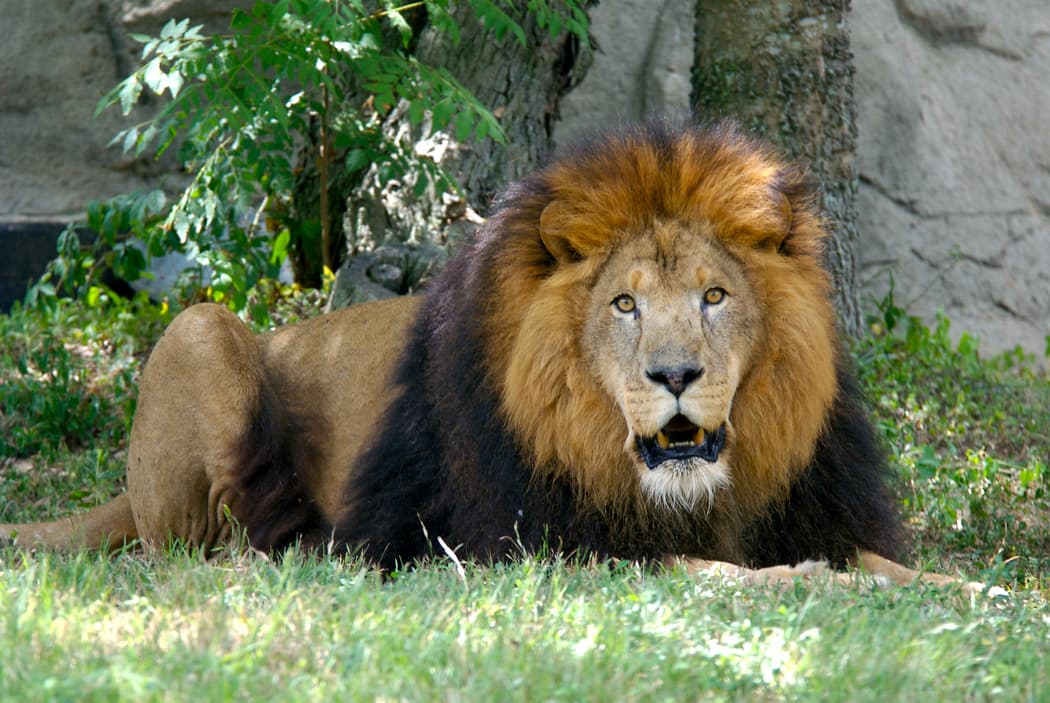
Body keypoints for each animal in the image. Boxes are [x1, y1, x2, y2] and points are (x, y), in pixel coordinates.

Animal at [0, 119, 978, 590]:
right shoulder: (534, 543)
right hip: (200, 332)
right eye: (624, 303)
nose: (674, 376)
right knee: (190, 547)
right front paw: (806, 585)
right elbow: (725, 573)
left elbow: (891, 567)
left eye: (715, 296)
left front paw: (975, 595)